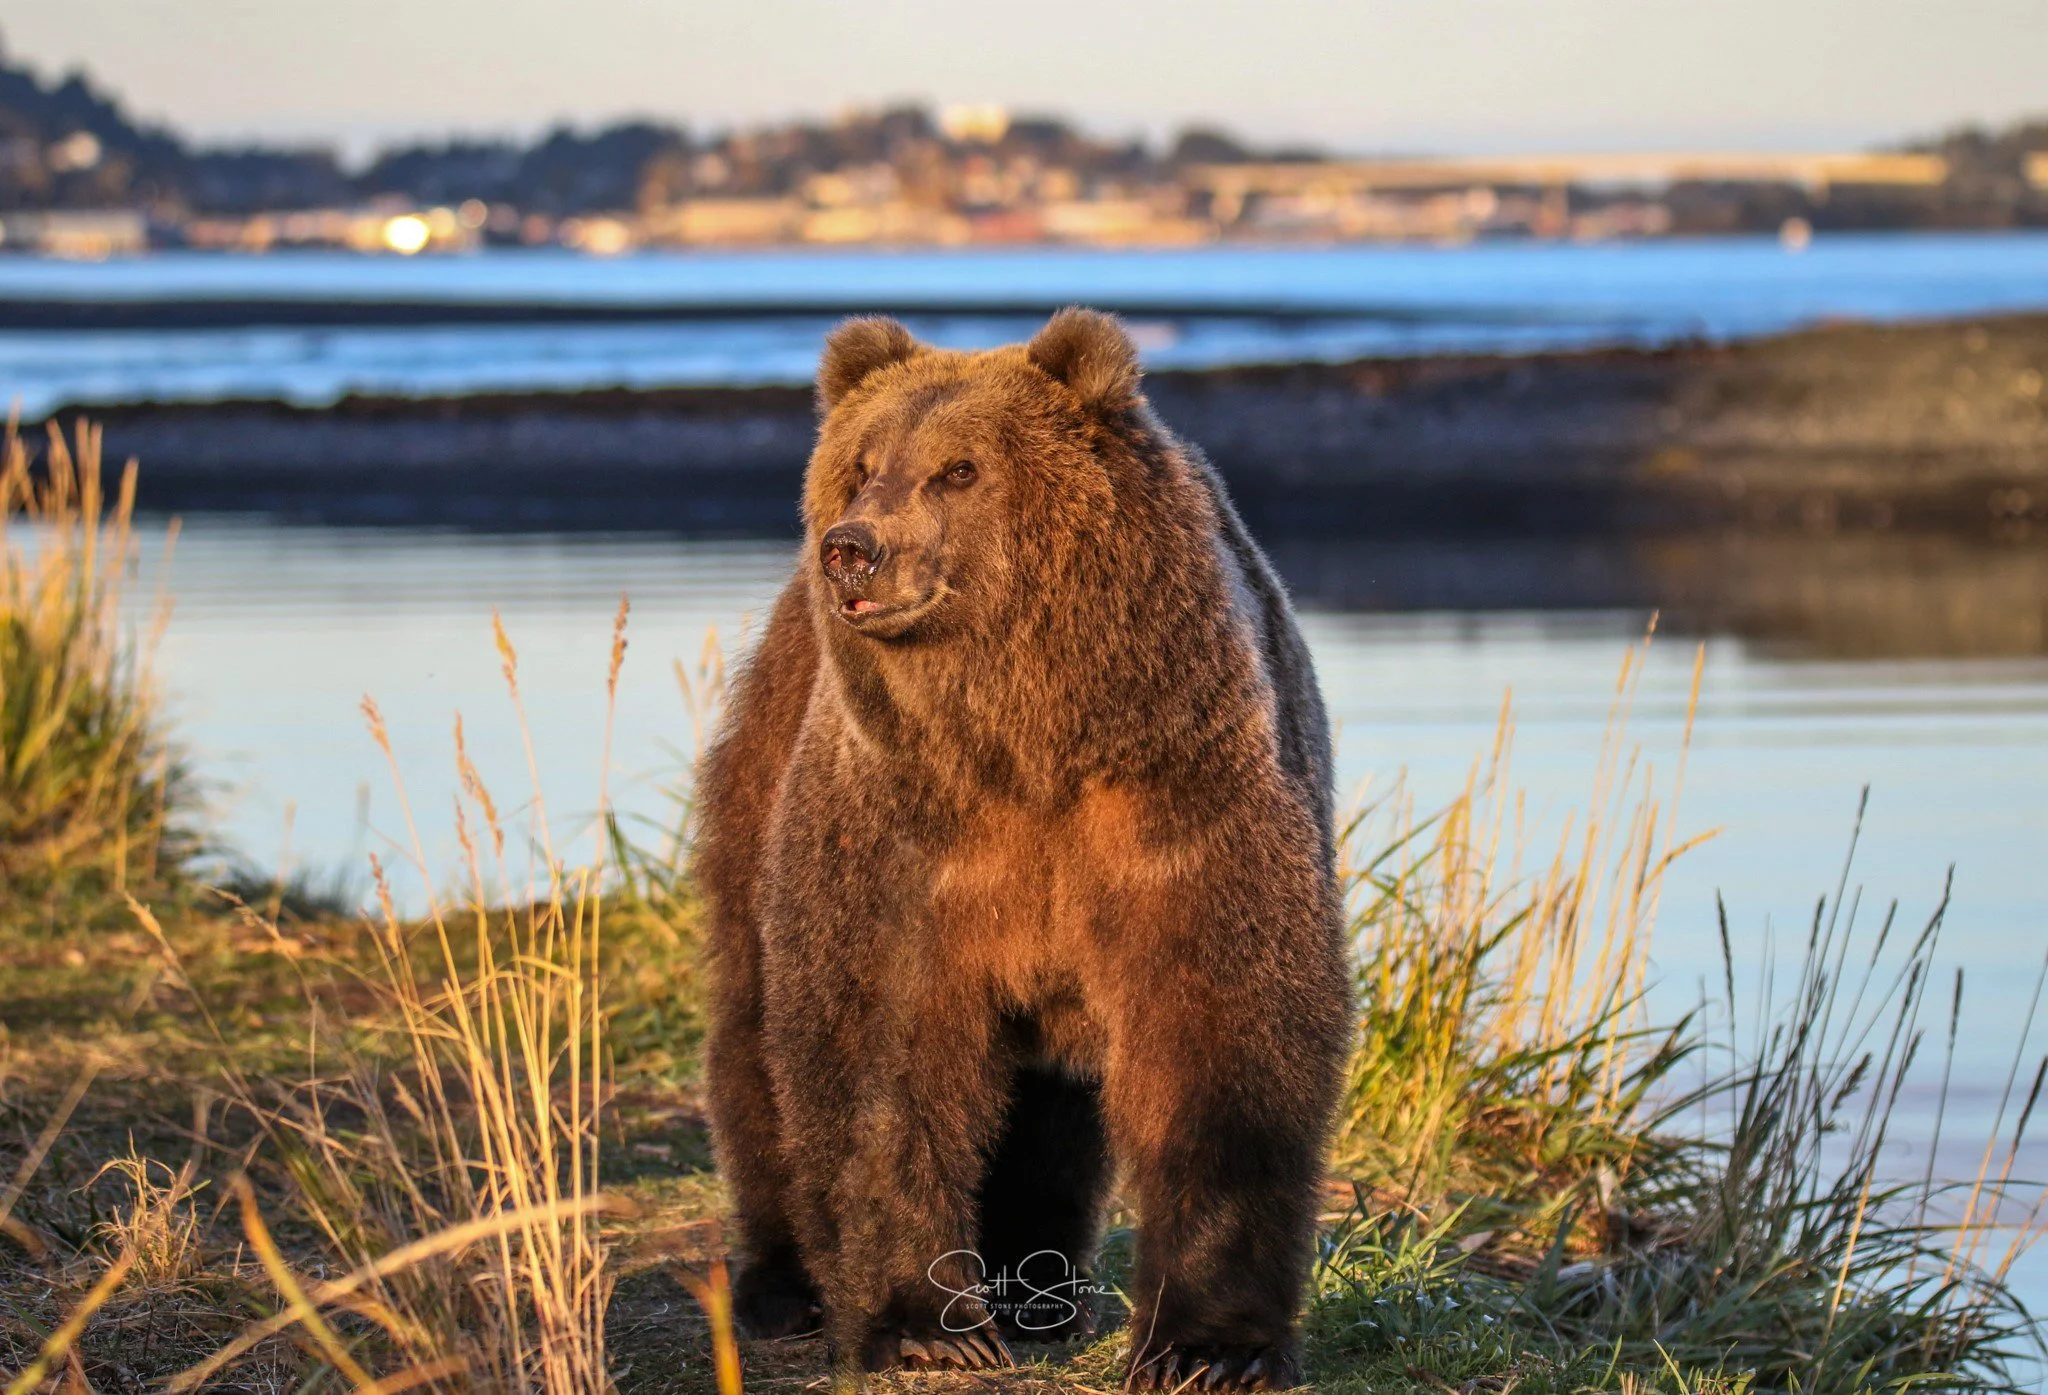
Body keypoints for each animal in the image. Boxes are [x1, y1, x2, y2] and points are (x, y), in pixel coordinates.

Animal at [694, 308, 1353, 1390]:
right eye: (861, 465)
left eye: (958, 469)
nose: (851, 550)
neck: (1026, 737)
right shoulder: (904, 822)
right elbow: (877, 1040)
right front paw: (925, 1325)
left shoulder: (1176, 794)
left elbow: (1220, 1031)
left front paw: (1208, 1347)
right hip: (764, 762)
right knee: (754, 1022)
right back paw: (784, 1285)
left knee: (1048, 1110)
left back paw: (1042, 1291)